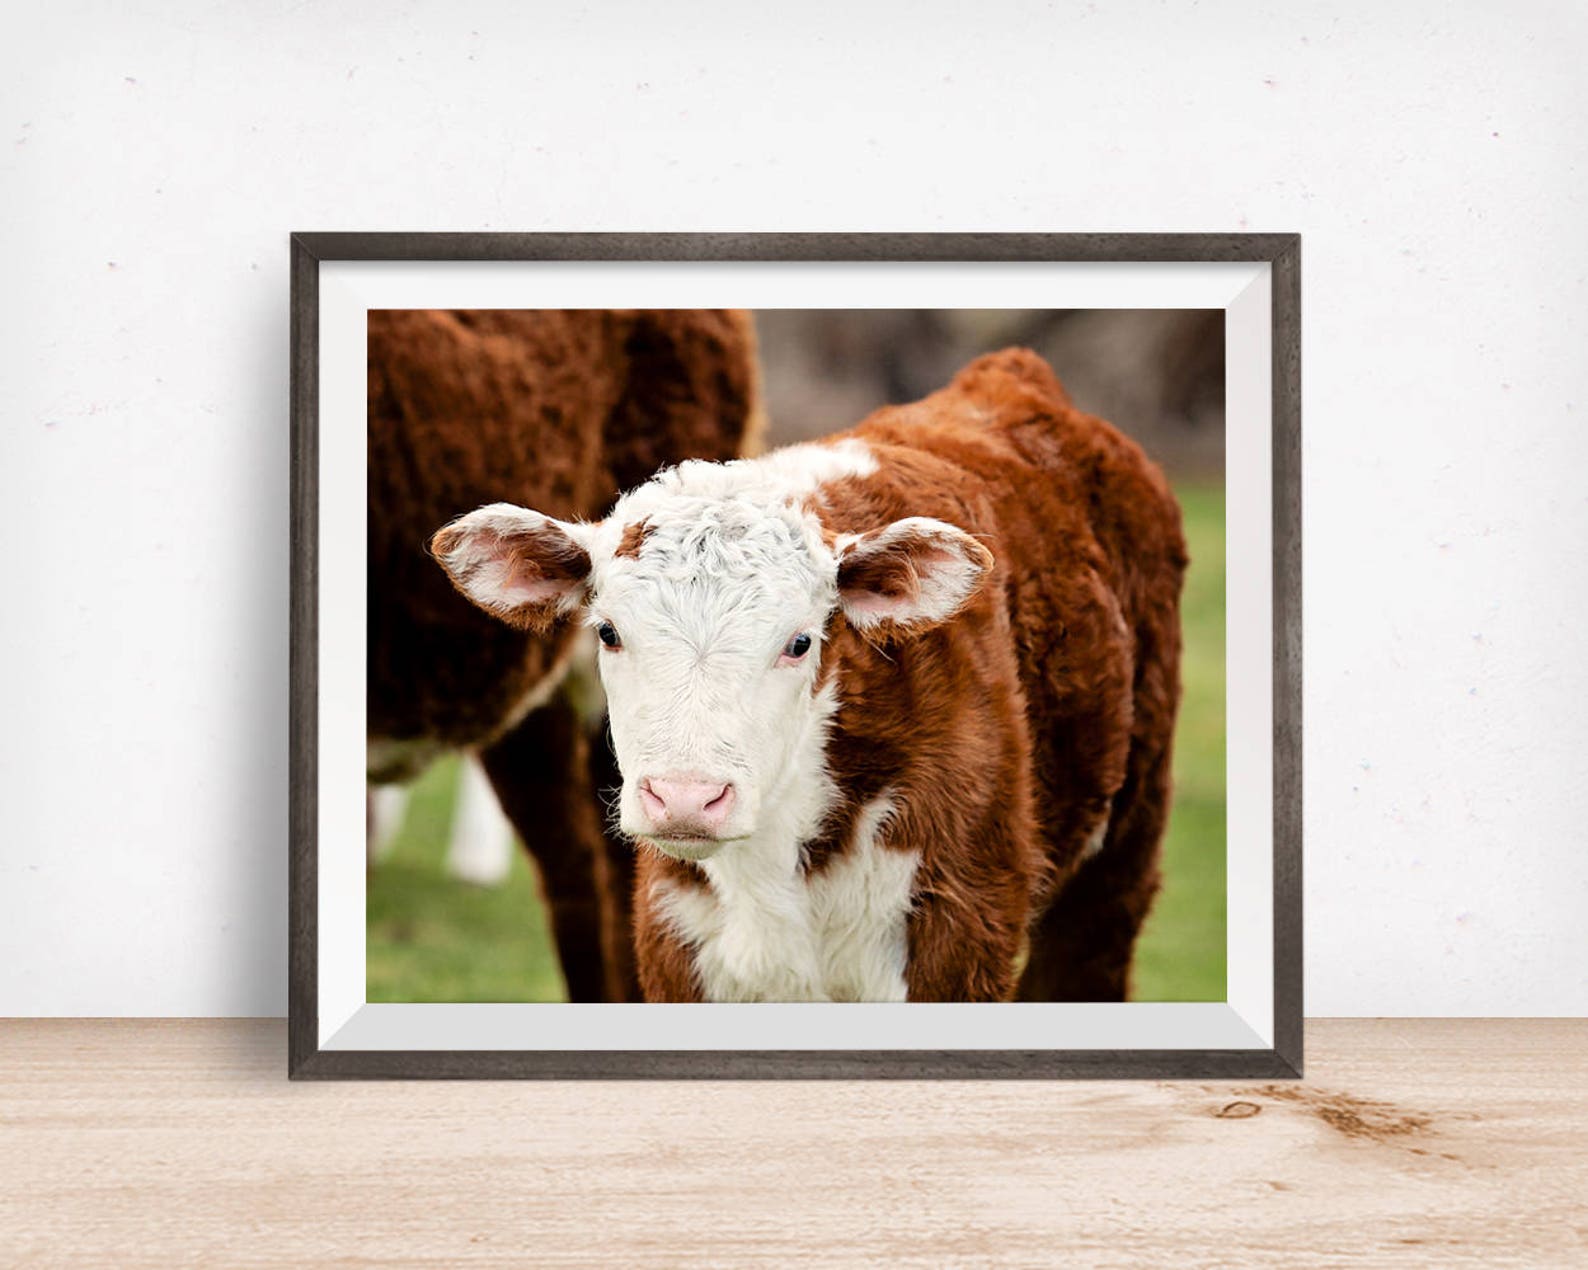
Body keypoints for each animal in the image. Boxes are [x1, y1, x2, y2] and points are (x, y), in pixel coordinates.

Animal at [430, 348, 1185, 1002]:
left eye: (799, 642)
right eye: (609, 632)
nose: (685, 799)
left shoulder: (962, 931)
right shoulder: (674, 936)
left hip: (1120, 857)